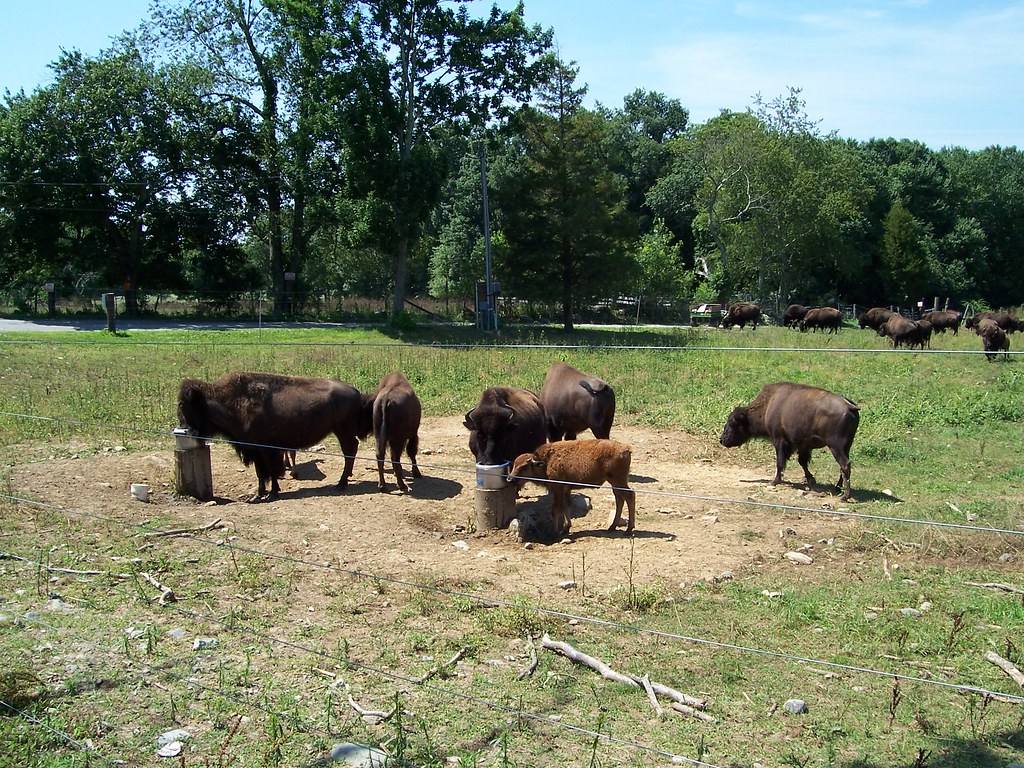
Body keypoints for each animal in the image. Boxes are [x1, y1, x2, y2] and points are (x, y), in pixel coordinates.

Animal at [177, 371, 367, 502]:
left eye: (186, 406)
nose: (185, 429)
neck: (230, 402)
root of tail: (356, 391)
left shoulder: (267, 449)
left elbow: (271, 471)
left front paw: (272, 493)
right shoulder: (255, 450)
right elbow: (261, 473)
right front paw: (257, 496)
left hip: (342, 431)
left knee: (349, 451)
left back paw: (341, 483)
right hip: (341, 431)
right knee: (351, 450)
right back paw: (344, 480)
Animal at [720, 381, 860, 500]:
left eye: (732, 423)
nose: (722, 439)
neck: (768, 405)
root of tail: (850, 407)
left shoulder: (780, 441)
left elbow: (780, 462)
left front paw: (774, 481)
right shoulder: (803, 446)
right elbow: (802, 462)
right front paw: (811, 480)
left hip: (836, 447)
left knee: (845, 465)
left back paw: (845, 496)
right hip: (846, 446)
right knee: (843, 467)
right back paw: (837, 488)